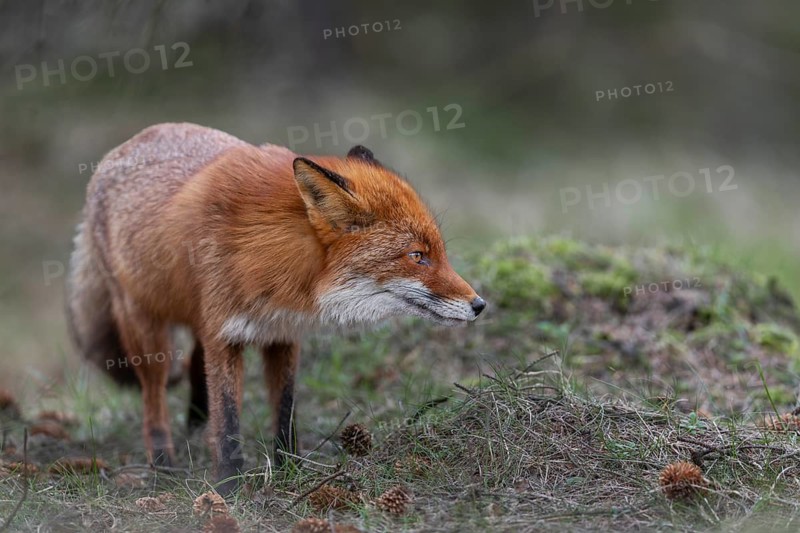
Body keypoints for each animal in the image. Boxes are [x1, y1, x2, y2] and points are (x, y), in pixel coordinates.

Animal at [66, 123, 485, 494]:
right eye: (417, 256)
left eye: (439, 253)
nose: (479, 305)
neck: (270, 258)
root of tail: (127, 146)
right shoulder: (225, 337)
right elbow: (229, 420)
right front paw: (229, 488)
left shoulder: (281, 334)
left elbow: (284, 413)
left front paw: (289, 472)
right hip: (147, 331)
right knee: (153, 397)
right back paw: (163, 464)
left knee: (194, 365)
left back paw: (196, 427)